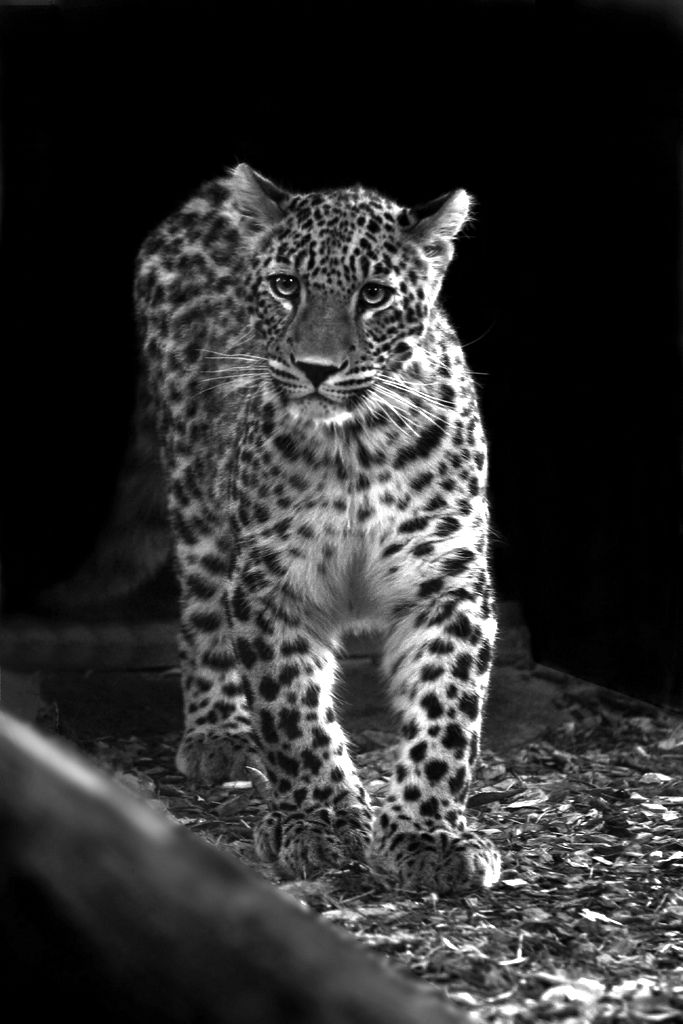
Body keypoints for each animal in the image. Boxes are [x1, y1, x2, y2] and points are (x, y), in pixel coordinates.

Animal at [109, 164, 503, 894]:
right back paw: (219, 732)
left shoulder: (451, 581)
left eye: (373, 294)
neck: (355, 447)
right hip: (198, 502)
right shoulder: (270, 583)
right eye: (285, 285)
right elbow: (292, 708)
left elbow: (445, 714)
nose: (317, 369)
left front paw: (428, 834)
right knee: (201, 612)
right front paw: (318, 819)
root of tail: (208, 193)